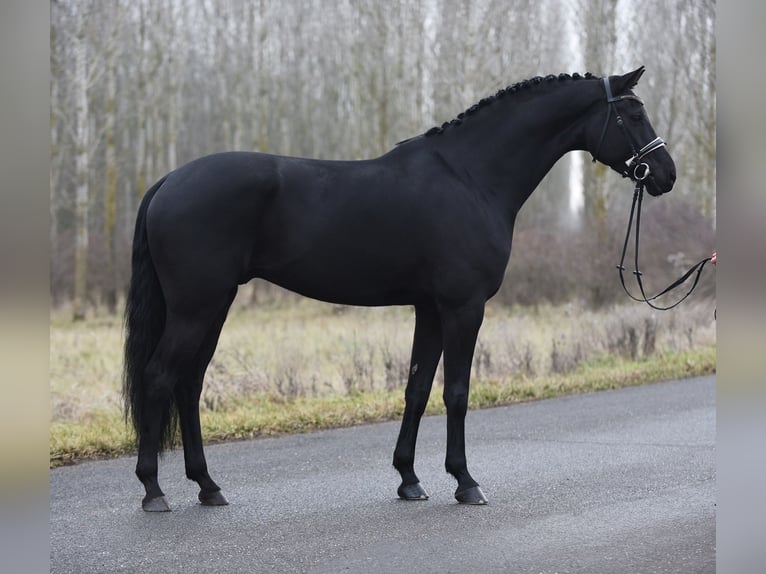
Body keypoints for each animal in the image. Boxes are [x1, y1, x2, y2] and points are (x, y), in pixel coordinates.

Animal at [123, 67, 676, 512]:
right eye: (632, 113)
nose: (666, 175)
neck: (471, 177)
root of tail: (169, 180)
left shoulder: (429, 308)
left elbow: (416, 387)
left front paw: (410, 480)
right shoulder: (462, 308)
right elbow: (456, 392)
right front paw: (465, 482)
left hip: (213, 306)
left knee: (189, 384)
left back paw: (208, 487)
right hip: (196, 307)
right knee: (159, 377)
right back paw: (153, 491)